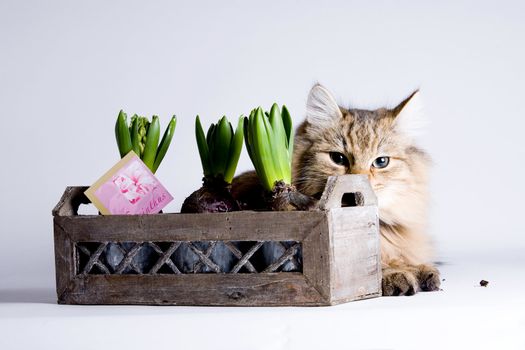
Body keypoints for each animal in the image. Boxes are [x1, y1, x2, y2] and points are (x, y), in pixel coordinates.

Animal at [231, 85, 440, 296]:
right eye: (338, 158)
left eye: (381, 161)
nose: (357, 183)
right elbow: (372, 267)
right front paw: (397, 273)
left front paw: (419, 269)